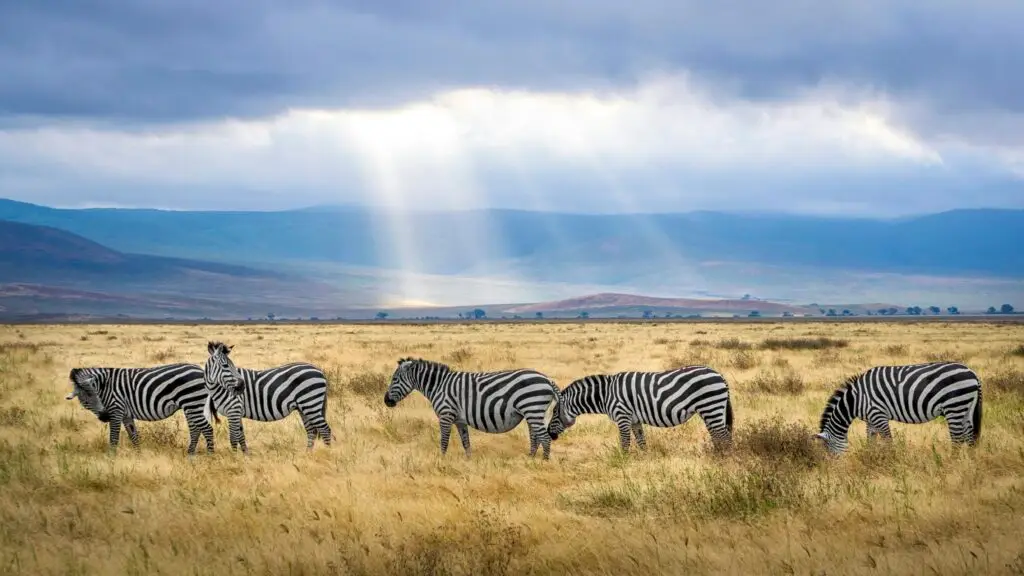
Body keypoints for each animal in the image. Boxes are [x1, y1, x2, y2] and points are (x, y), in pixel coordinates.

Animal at [62, 362, 214, 453]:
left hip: (192, 403)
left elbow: (114, 437)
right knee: (195, 430)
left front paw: (111, 458)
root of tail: (200, 370)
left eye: (96, 395)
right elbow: (133, 434)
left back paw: (210, 456)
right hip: (191, 406)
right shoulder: (125, 414)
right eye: (85, 400)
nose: (105, 416)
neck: (105, 386)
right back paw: (190, 454)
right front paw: (138, 455)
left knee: (207, 429)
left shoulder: (116, 410)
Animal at [204, 338, 335, 450]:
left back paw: (327, 453)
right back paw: (308, 454)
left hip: (310, 403)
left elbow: (233, 438)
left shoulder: (234, 410)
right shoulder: (237, 412)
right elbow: (241, 436)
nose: (242, 386)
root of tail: (319, 371)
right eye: (226, 365)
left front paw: (235, 457)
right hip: (304, 407)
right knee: (311, 430)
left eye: (231, 365)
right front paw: (246, 455)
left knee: (325, 430)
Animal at [382, 356, 561, 459]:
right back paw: (529, 459)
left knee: (544, 438)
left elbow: (444, 441)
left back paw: (543, 463)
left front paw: (441, 461)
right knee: (536, 437)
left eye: (395, 379)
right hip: (533, 412)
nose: (386, 401)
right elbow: (466, 442)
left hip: (532, 408)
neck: (439, 385)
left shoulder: (446, 415)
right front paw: (468, 462)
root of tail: (547, 379)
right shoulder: (460, 420)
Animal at [548, 364, 733, 450]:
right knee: (718, 435)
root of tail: (719, 374)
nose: (550, 434)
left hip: (711, 406)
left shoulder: (622, 416)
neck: (605, 395)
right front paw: (644, 461)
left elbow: (625, 443)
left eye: (555, 412)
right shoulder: (634, 420)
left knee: (724, 436)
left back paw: (724, 459)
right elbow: (641, 441)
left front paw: (623, 462)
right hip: (712, 409)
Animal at [815, 358, 983, 453]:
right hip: (966, 408)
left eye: (828, 449)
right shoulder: (870, 419)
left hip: (954, 406)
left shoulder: (879, 415)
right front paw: (870, 459)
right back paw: (969, 462)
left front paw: (891, 461)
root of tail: (972, 373)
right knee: (969, 437)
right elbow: (871, 441)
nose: (833, 469)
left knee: (957, 439)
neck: (856, 400)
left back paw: (951, 463)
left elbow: (888, 441)